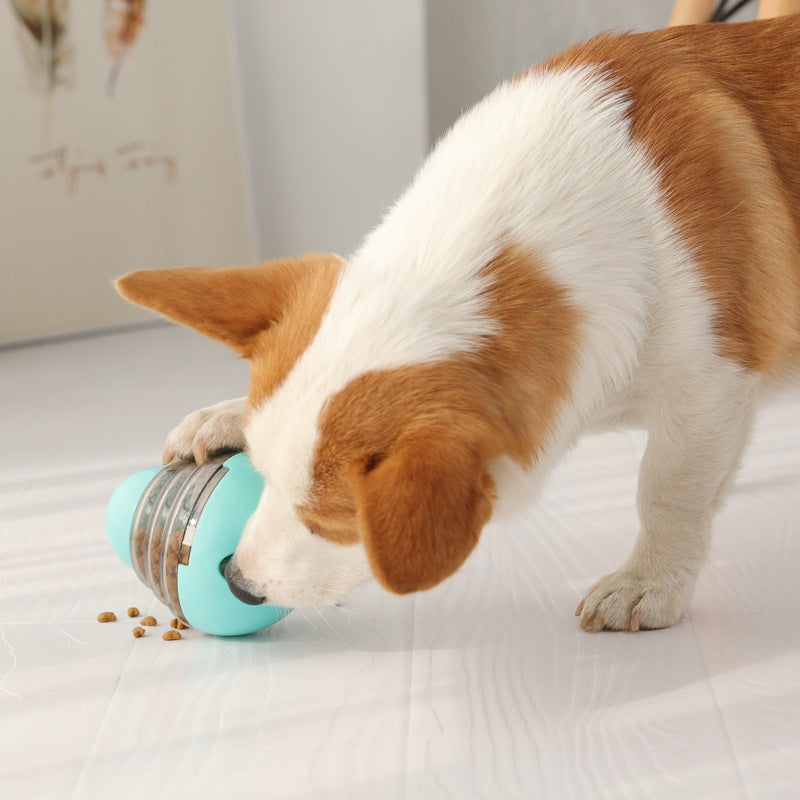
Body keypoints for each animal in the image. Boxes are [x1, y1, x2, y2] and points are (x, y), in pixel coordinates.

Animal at [114, 14, 800, 632]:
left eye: (337, 521)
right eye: (258, 475)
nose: (236, 581)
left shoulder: (708, 392)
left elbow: (667, 491)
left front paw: (648, 582)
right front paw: (224, 415)